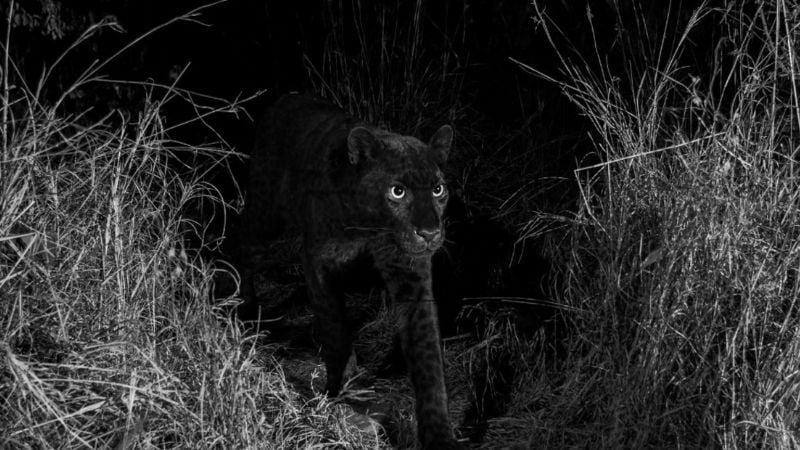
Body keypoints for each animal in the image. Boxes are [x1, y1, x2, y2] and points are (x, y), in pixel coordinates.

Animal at [237, 93, 463, 449]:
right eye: (397, 191)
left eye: (438, 189)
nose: (429, 233)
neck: (371, 227)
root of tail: (284, 98)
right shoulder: (319, 259)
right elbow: (335, 327)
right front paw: (340, 393)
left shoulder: (411, 274)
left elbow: (428, 358)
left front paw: (439, 436)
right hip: (266, 213)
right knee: (243, 241)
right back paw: (244, 305)